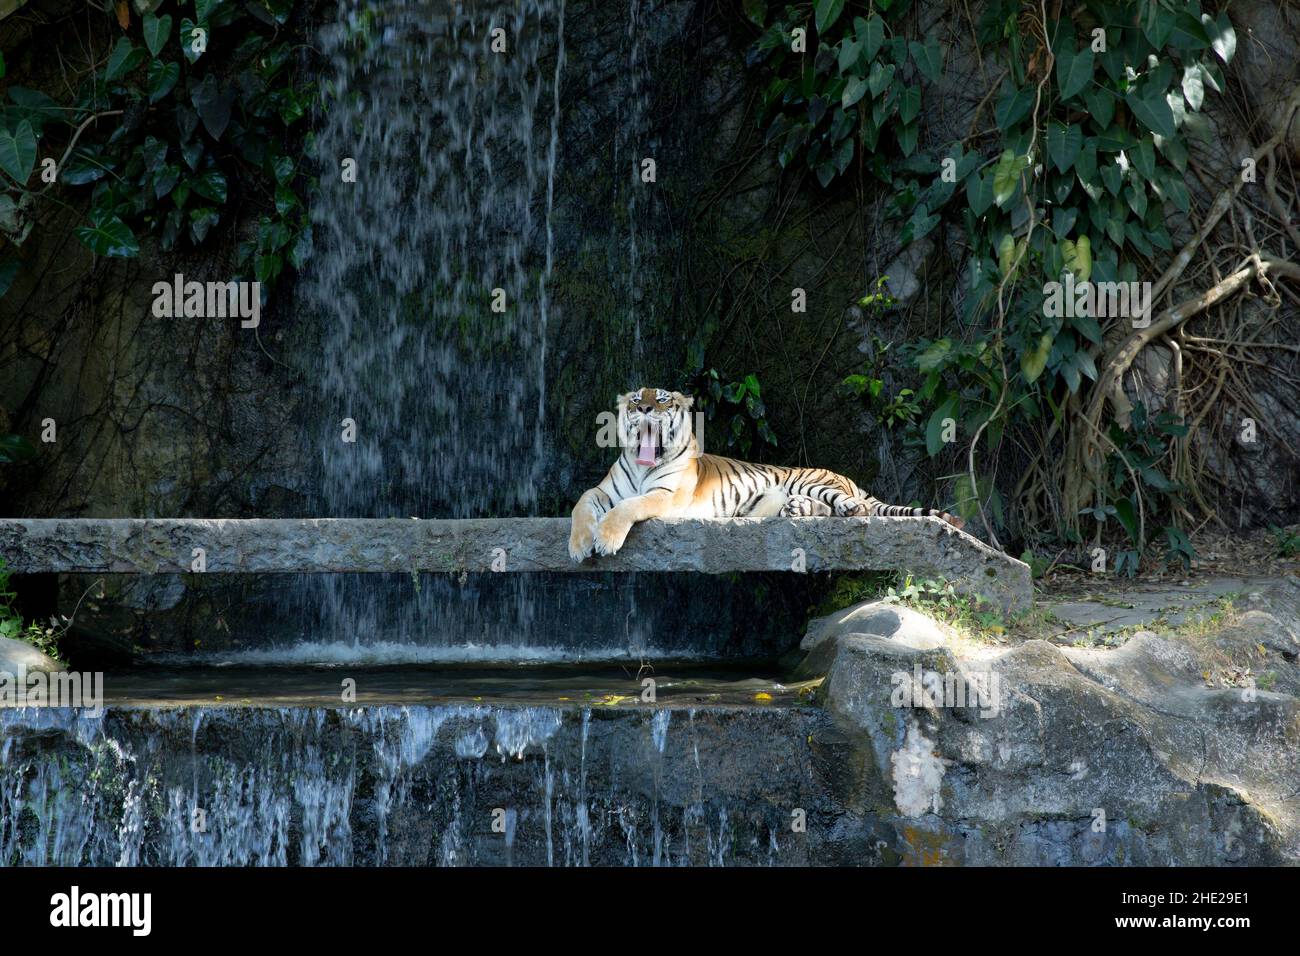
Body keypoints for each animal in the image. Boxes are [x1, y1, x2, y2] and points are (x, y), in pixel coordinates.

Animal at [568, 387, 965, 561]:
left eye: (663, 399)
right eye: (637, 399)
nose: (645, 409)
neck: (641, 465)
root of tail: (848, 478)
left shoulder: (666, 497)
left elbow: (629, 507)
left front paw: (605, 541)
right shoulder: (601, 491)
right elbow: (581, 504)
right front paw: (578, 546)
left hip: (811, 480)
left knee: (855, 508)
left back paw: (846, 508)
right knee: (823, 510)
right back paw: (796, 510)